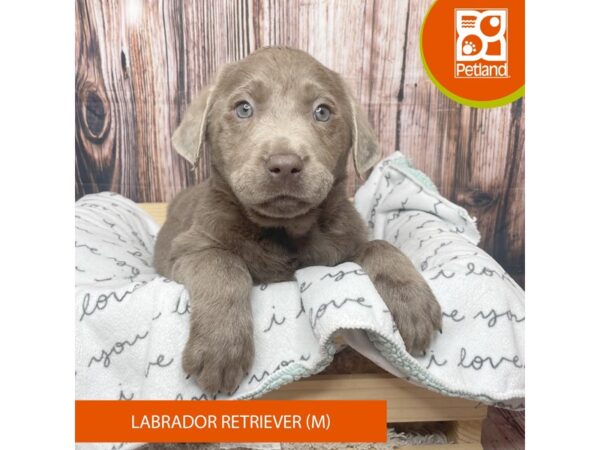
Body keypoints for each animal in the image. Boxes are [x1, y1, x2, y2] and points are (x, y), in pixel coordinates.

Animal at [155, 46, 440, 394]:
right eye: (243, 109)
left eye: (322, 112)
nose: (285, 164)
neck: (284, 231)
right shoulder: (187, 248)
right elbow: (223, 264)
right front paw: (220, 349)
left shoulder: (345, 242)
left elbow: (380, 246)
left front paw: (414, 304)